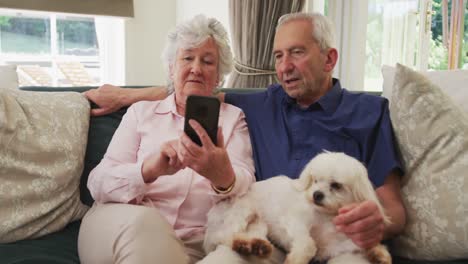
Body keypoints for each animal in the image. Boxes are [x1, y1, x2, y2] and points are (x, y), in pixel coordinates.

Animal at [204, 152, 392, 262]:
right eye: (315, 180)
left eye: (336, 185)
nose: (316, 194)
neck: (325, 217)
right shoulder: (295, 221)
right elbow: (308, 244)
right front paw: (297, 258)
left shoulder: (334, 246)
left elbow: (360, 245)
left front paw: (378, 253)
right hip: (243, 212)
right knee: (224, 236)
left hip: (259, 224)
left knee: (245, 236)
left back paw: (253, 246)